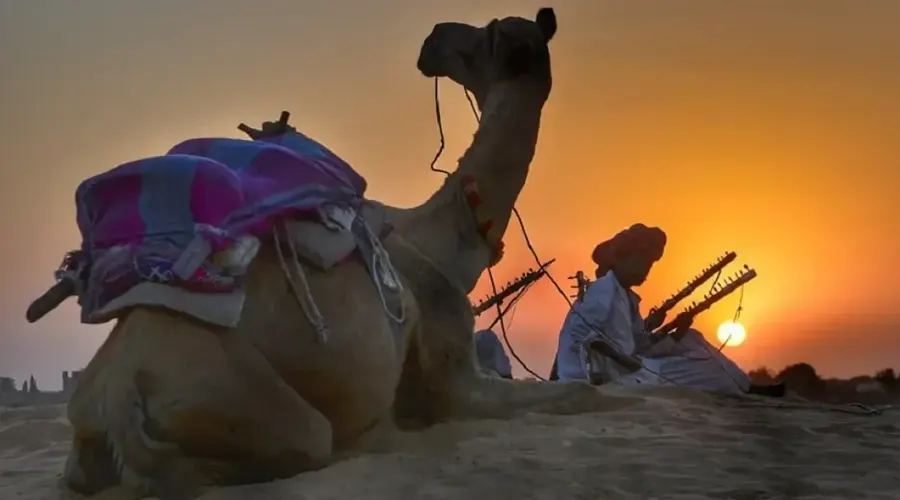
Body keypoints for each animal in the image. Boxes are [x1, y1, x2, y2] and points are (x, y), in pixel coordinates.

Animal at [47, 7, 607, 499]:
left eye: (485, 32)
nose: (433, 38)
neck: (446, 240)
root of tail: (117, 395)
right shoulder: (453, 378)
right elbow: (585, 390)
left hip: (93, 428)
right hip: (248, 402)